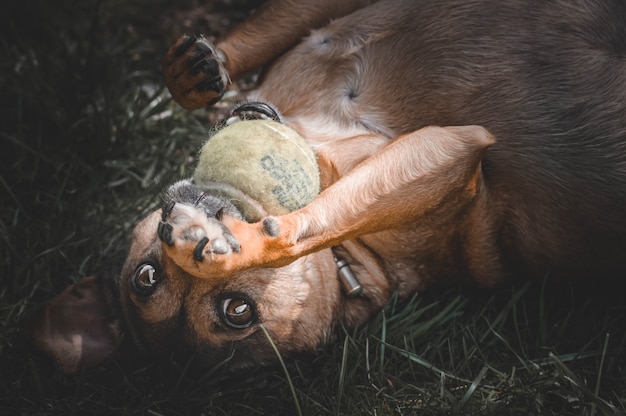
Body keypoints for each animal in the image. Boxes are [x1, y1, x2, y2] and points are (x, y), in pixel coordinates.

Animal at [30, 0, 624, 374]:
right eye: (238, 313)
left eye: (145, 277)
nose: (179, 236)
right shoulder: (453, 151)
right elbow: (306, 226)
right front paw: (244, 247)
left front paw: (195, 68)